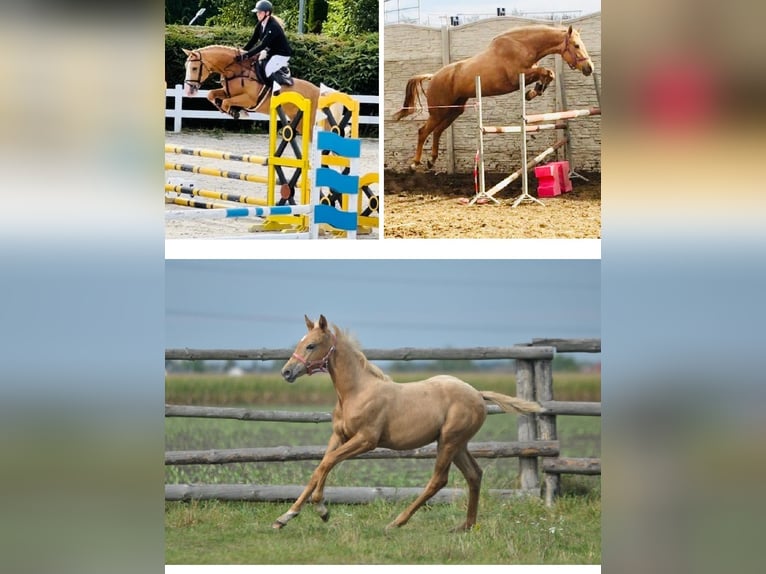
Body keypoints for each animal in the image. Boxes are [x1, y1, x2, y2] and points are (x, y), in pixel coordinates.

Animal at [182, 46, 320, 129]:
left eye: (194, 68)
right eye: (186, 67)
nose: (188, 91)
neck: (236, 71)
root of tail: (318, 91)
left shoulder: (249, 100)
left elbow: (226, 103)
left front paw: (236, 112)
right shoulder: (228, 93)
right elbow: (211, 94)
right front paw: (231, 110)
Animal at [272, 318, 544, 532]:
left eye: (311, 345)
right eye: (300, 342)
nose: (286, 372)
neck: (356, 392)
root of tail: (477, 393)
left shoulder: (366, 440)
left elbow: (328, 462)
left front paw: (321, 508)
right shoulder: (339, 436)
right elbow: (319, 468)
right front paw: (284, 517)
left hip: (449, 441)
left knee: (439, 480)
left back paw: (397, 522)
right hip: (458, 444)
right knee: (474, 474)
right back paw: (465, 526)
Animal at [392, 25, 596, 170]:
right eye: (576, 45)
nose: (589, 68)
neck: (522, 45)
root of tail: (434, 76)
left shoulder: (528, 73)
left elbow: (548, 74)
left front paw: (533, 92)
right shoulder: (518, 75)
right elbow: (546, 71)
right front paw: (533, 92)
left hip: (453, 111)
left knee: (437, 132)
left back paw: (431, 161)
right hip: (438, 112)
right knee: (423, 132)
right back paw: (415, 164)